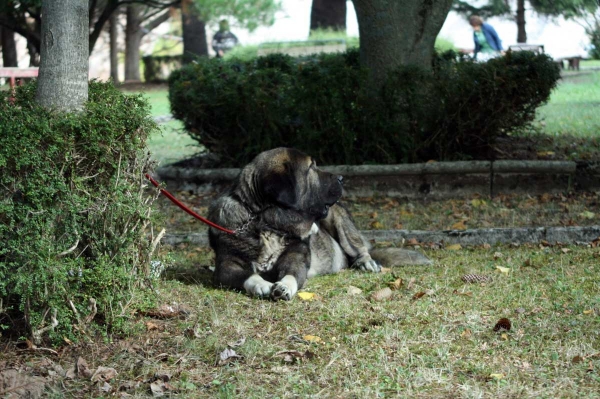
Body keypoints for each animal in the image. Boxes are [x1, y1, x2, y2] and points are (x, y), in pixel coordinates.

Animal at [207, 148, 432, 302]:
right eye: (310, 168)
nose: (341, 178)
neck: (267, 223)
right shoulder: (227, 266)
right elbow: (248, 275)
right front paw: (262, 285)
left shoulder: (296, 257)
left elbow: (292, 273)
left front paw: (284, 287)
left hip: (337, 219)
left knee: (358, 248)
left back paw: (366, 262)